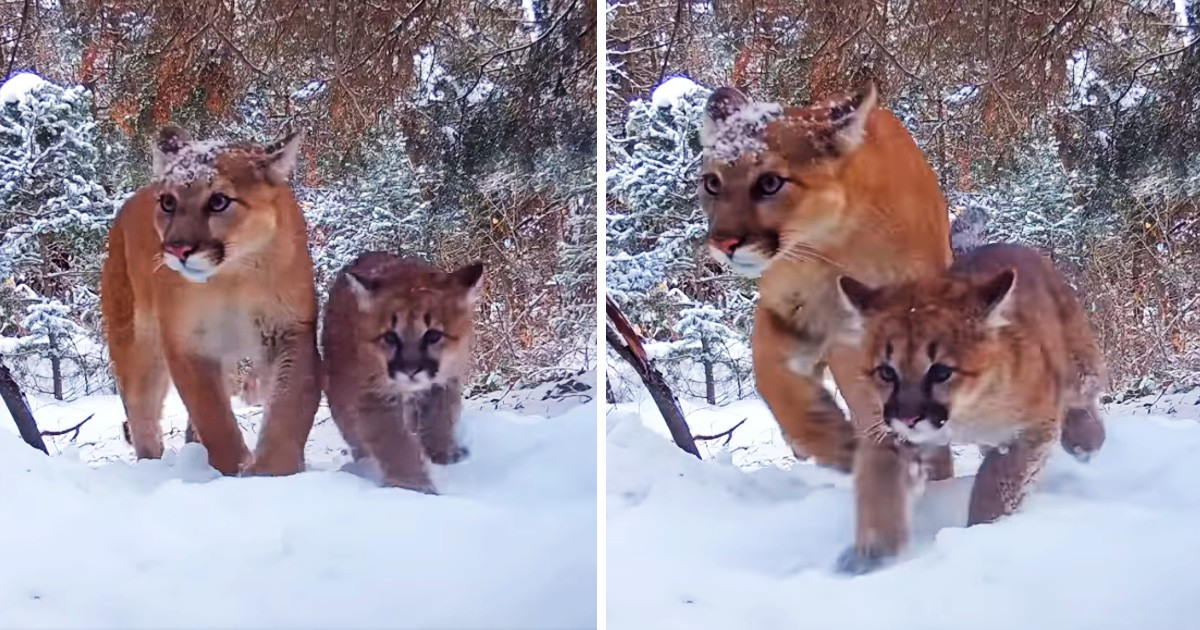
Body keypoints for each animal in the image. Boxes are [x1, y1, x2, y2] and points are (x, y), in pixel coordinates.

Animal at [101, 126, 321, 476]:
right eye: (168, 202)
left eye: (218, 201)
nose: (177, 249)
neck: (233, 277)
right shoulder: (190, 342)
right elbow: (214, 417)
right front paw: (236, 470)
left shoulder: (288, 331)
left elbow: (289, 408)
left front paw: (272, 472)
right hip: (136, 347)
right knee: (142, 415)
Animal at [321, 251, 484, 494]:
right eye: (390, 337)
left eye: (433, 335)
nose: (410, 370)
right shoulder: (374, 394)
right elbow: (395, 443)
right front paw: (413, 487)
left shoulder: (444, 382)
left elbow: (440, 417)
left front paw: (443, 455)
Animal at [832, 242, 1108, 573]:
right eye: (886, 372)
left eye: (941, 372)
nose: (908, 418)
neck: (963, 415)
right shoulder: (886, 432)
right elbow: (879, 490)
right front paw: (873, 555)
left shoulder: (1034, 427)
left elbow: (996, 480)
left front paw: (983, 530)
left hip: (1079, 366)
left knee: (1085, 395)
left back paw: (1086, 440)